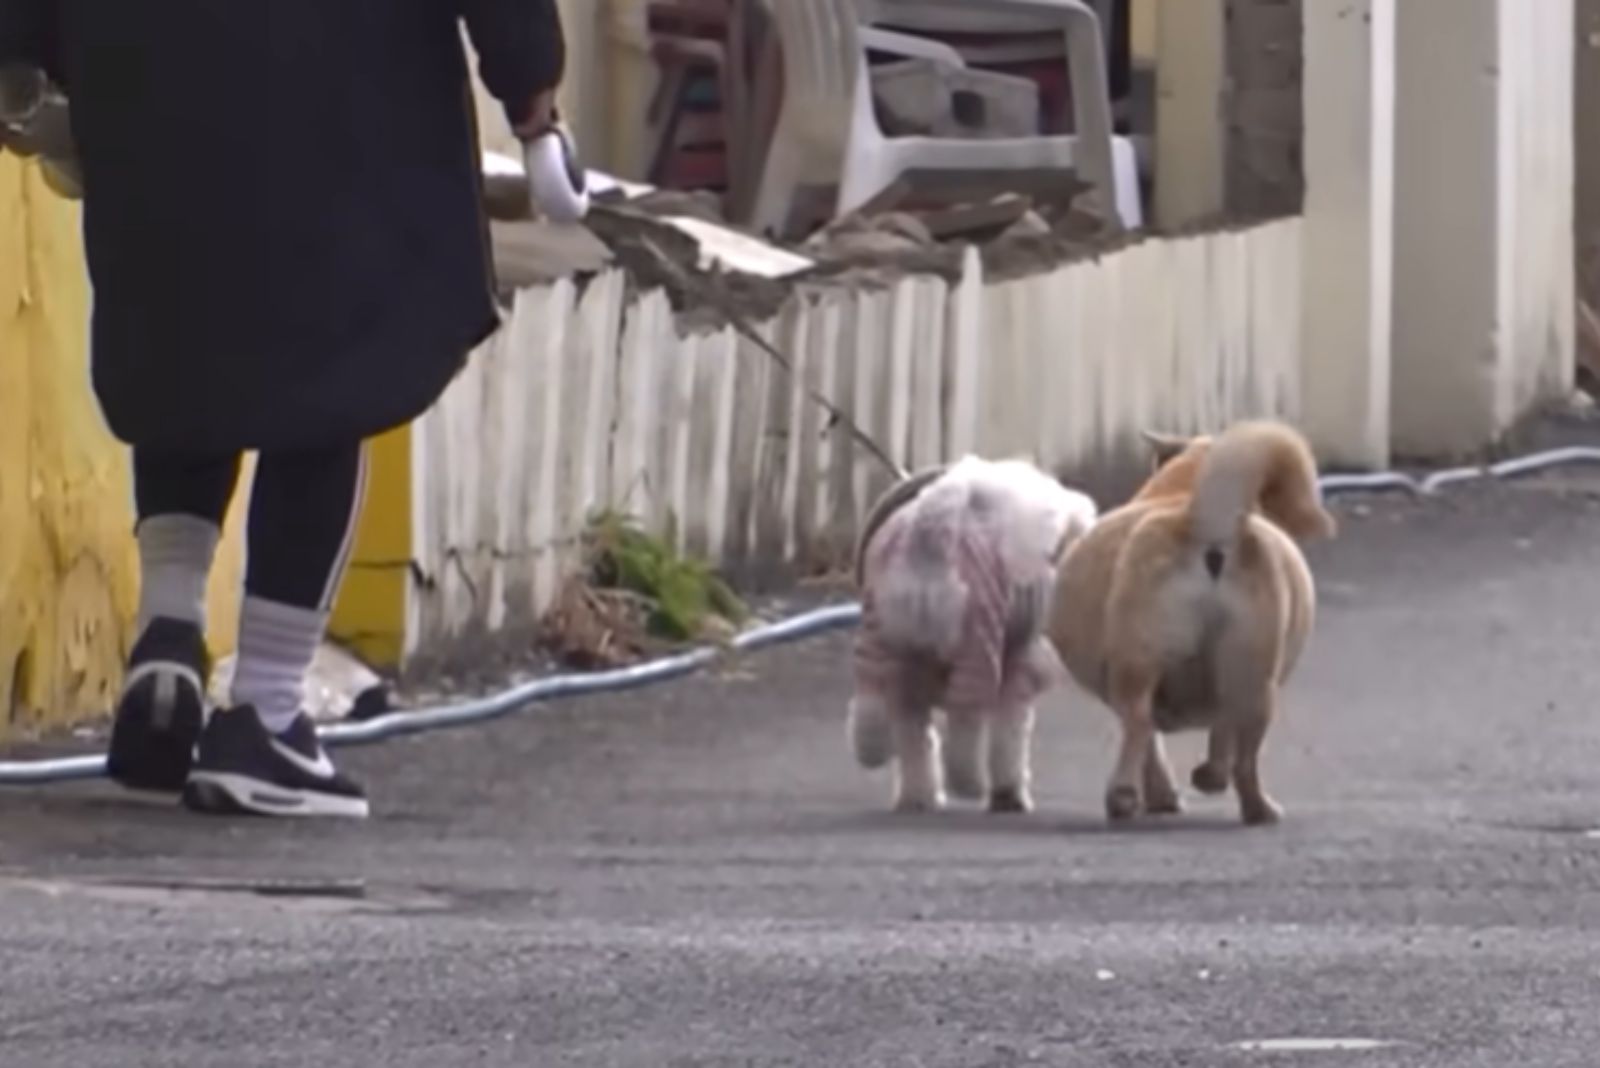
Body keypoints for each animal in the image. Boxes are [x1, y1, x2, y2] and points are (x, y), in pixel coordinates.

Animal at [851, 454, 1100, 812]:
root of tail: (932, 528)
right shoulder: (1020, 668)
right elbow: (1009, 739)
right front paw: (1009, 794)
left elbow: (918, 742)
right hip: (977, 643)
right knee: (963, 730)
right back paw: (971, 784)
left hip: (883, 641)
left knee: (880, 712)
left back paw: (893, 772)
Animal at [1049, 415, 1337, 824]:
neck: (1181, 489)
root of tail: (1201, 520)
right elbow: (1220, 733)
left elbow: (1155, 747)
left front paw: (1162, 794)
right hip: (1255, 679)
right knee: (1243, 756)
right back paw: (1255, 806)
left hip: (1140, 660)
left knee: (1139, 722)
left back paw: (1124, 796)